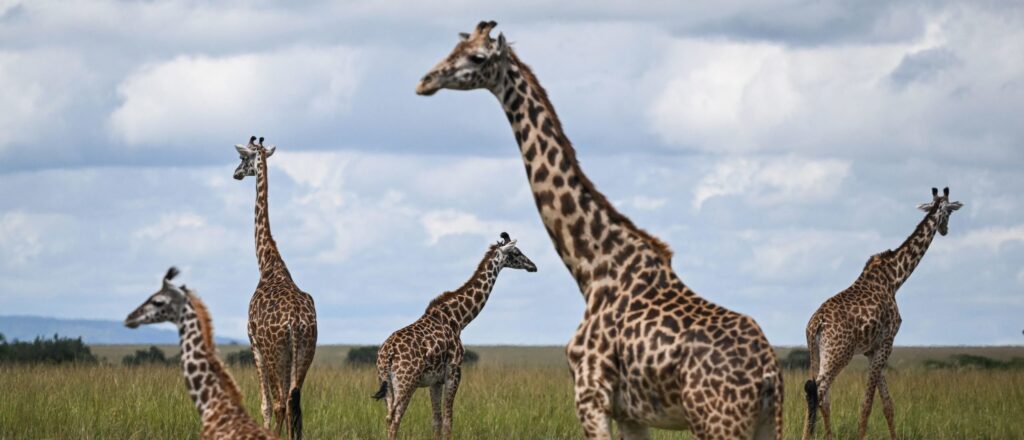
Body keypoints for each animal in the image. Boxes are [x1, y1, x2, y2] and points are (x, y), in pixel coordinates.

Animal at [234, 136, 318, 440]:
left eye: (243, 158)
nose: (236, 173)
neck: (268, 263)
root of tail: (296, 322)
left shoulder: (253, 342)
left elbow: (265, 405)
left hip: (276, 353)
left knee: (282, 401)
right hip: (305, 352)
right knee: (295, 399)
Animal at [372, 232, 537, 440]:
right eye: (516, 252)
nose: (533, 266)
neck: (458, 319)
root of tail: (388, 354)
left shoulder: (435, 380)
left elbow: (436, 421)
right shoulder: (454, 372)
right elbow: (448, 421)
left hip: (386, 382)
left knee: (388, 416)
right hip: (406, 381)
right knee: (395, 417)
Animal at [416, 21, 783, 440]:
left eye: (477, 58)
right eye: (454, 48)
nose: (425, 81)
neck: (593, 267)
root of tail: (769, 373)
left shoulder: (591, 396)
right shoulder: (629, 412)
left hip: (717, 420)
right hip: (762, 422)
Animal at [802, 187, 963, 440]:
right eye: (949, 212)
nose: (945, 230)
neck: (895, 278)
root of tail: (816, 323)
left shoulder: (871, 349)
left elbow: (887, 404)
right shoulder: (888, 341)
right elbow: (868, 404)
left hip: (816, 352)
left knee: (818, 394)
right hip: (839, 353)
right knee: (818, 389)